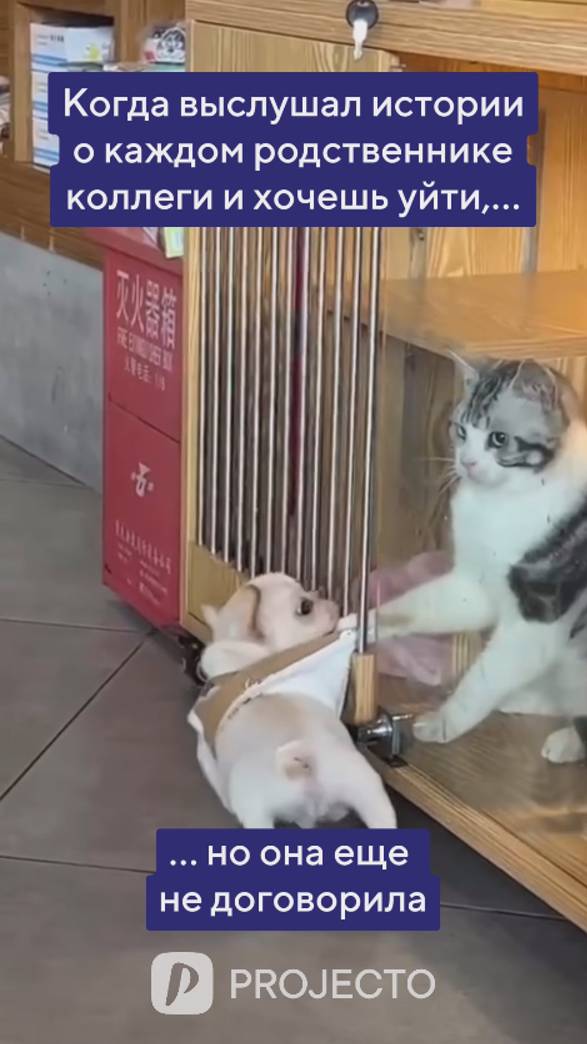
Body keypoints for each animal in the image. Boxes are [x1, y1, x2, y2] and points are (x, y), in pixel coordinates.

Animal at [378, 356, 587, 764]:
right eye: (460, 430)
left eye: (499, 439)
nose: (467, 462)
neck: (502, 502)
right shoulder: (474, 584)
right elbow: (420, 605)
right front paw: (363, 623)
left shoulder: (537, 617)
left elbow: (485, 676)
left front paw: (444, 721)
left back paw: (565, 741)